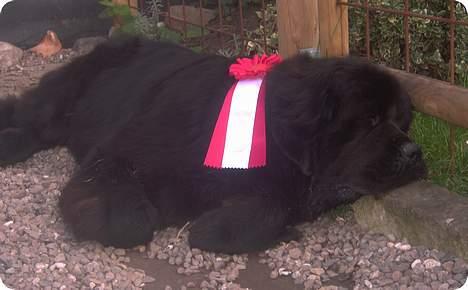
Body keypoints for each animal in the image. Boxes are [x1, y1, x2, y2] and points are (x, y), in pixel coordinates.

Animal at [0, 36, 426, 254]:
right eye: (370, 121)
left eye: (403, 122)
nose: (414, 152)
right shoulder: (119, 153)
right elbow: (130, 221)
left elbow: (270, 207)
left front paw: (221, 227)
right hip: (65, 98)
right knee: (33, 118)